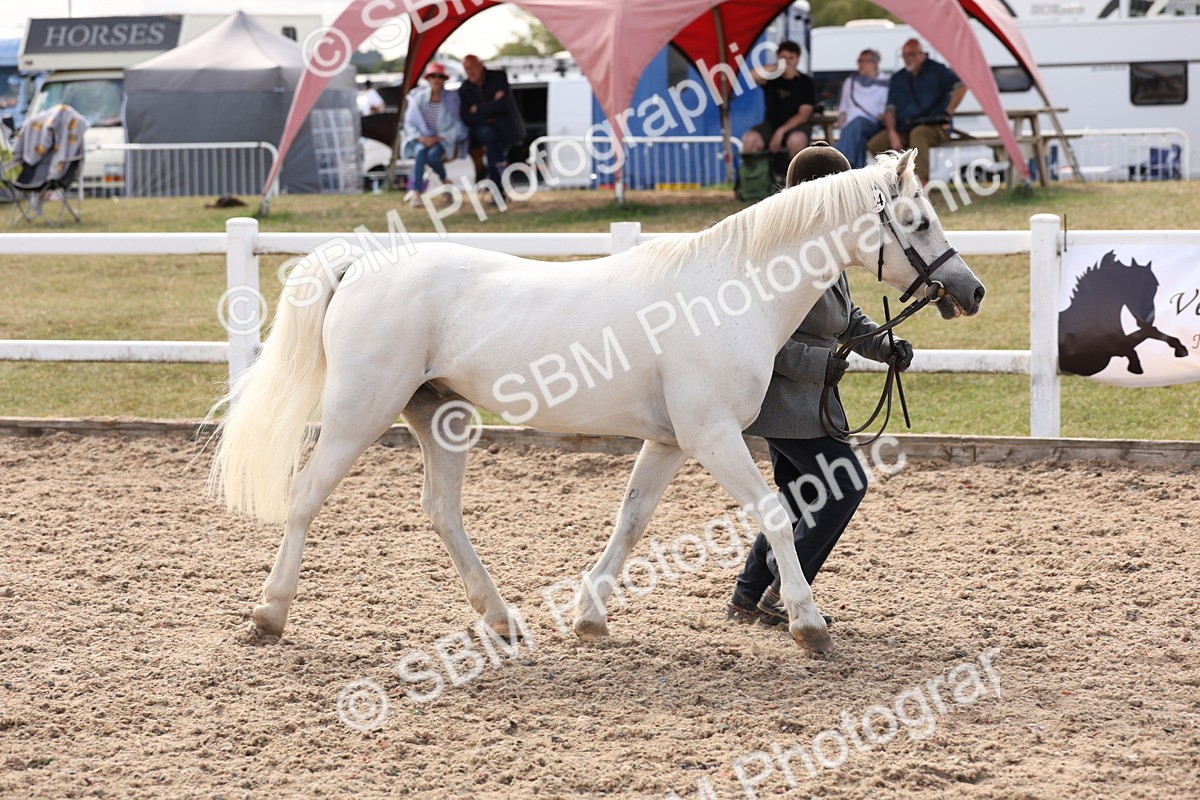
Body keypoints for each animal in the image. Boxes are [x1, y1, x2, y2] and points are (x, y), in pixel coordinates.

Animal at [208, 149, 985, 654]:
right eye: (917, 221)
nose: (970, 291)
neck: (732, 290)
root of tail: (361, 264)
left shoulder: (670, 441)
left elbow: (631, 522)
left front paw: (589, 618)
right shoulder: (711, 436)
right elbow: (774, 515)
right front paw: (808, 626)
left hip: (440, 416)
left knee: (441, 511)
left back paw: (502, 621)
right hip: (358, 412)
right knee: (306, 497)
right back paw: (269, 616)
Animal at [1059, 250, 1188, 376]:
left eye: (1156, 285)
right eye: (1131, 285)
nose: (1146, 320)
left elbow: (1149, 332)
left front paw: (1181, 349)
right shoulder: (1113, 348)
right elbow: (1133, 346)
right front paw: (1135, 368)